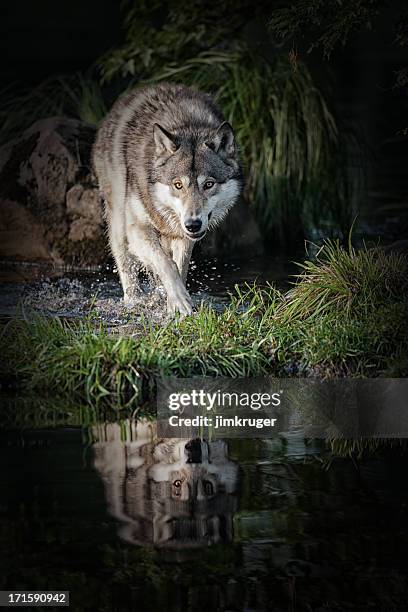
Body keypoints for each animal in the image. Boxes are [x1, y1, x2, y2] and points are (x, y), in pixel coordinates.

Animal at [92, 82, 242, 316]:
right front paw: (179, 300)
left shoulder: (184, 236)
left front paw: (172, 305)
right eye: (178, 185)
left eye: (208, 184)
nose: (193, 224)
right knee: (126, 264)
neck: (186, 123)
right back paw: (133, 301)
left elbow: (179, 266)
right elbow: (166, 263)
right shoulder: (137, 229)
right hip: (118, 223)